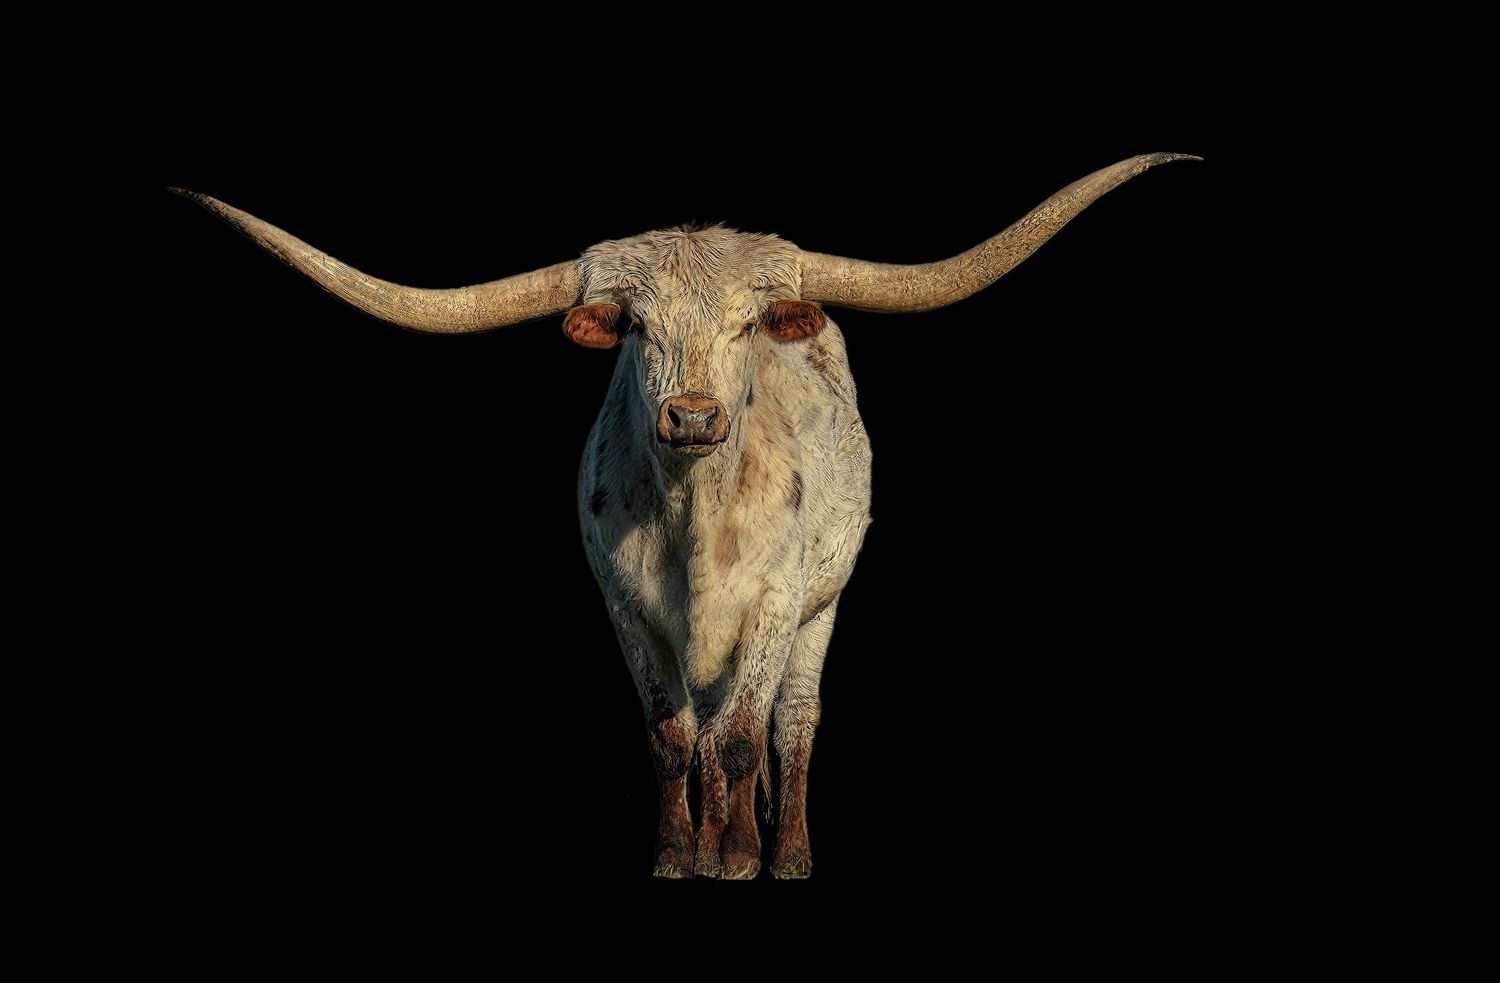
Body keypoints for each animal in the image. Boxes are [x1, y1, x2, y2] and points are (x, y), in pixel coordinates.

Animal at [172, 152, 1197, 879]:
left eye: (745, 325)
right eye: (636, 326)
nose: (695, 417)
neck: (695, 520)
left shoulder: (779, 600)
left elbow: (746, 735)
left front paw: (740, 858)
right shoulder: (625, 605)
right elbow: (673, 738)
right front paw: (679, 854)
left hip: (821, 609)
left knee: (790, 721)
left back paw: (788, 852)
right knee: (705, 727)